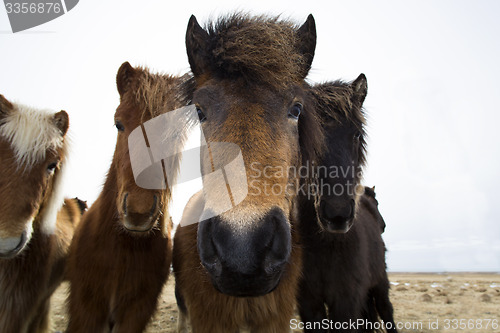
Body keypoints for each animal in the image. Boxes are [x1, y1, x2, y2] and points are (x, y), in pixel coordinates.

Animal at [66, 61, 191, 330]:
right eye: (119, 124)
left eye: (175, 135)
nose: (138, 211)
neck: (123, 246)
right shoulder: (86, 308)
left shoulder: (136, 311)